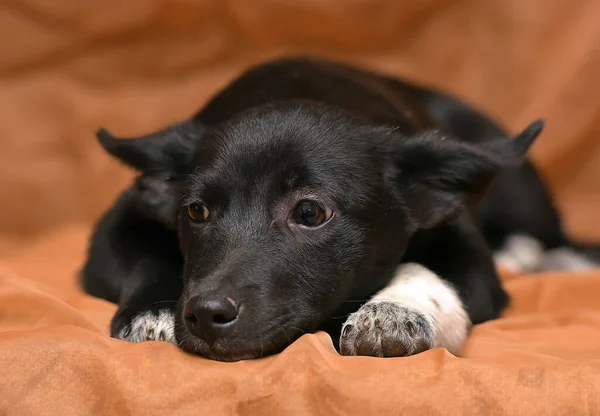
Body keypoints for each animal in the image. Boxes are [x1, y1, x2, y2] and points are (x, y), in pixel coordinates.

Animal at [81, 55, 600, 360]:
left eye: (310, 213)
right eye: (195, 212)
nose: (206, 315)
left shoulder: (468, 253)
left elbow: (433, 275)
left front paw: (393, 311)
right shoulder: (113, 232)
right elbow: (149, 256)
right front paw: (151, 315)